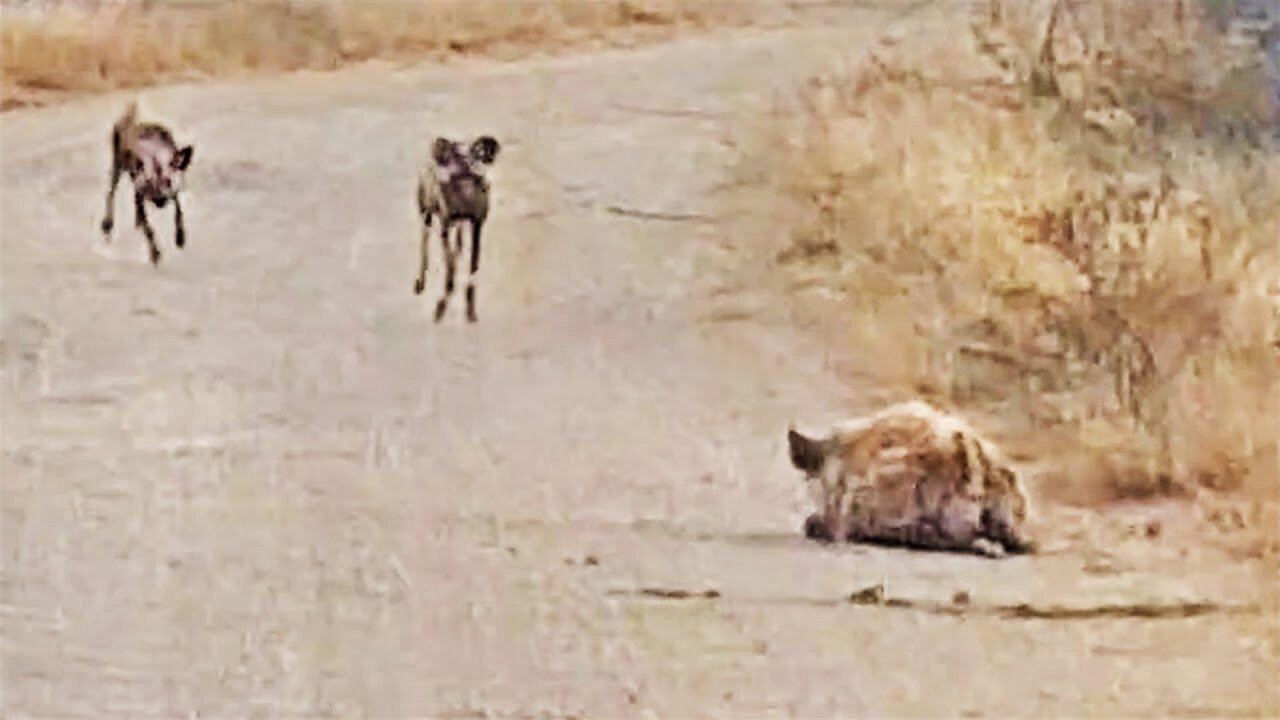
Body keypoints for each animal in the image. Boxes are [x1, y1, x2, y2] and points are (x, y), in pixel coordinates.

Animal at [98, 102, 193, 265]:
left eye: (168, 182)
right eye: (148, 183)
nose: (160, 201)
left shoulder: (174, 193)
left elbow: (178, 213)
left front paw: (180, 238)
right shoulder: (142, 191)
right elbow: (149, 229)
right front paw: (155, 254)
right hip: (118, 167)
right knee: (111, 193)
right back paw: (108, 225)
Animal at [417, 133, 501, 322]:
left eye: (476, 153)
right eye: (453, 154)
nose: (439, 156)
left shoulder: (477, 226)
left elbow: (473, 265)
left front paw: (470, 309)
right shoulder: (445, 228)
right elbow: (450, 265)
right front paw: (441, 306)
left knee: (458, 246)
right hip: (427, 216)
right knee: (425, 247)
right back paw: (420, 283)